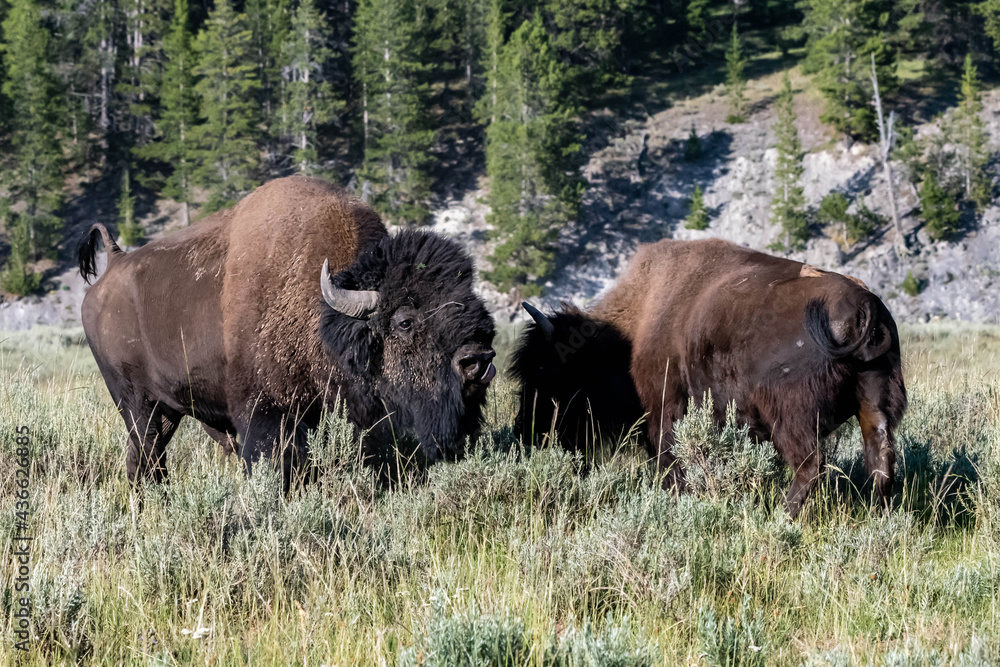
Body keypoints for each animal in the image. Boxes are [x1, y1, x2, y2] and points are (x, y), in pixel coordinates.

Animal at [80, 175, 498, 488]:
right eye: (405, 321)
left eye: (477, 305)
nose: (478, 360)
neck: (324, 312)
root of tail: (112, 266)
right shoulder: (269, 414)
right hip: (136, 404)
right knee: (147, 457)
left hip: (165, 410)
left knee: (143, 461)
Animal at [512, 240, 912, 516]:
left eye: (544, 370)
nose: (525, 431)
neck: (630, 334)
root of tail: (864, 303)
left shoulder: (665, 411)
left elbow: (670, 462)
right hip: (875, 401)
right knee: (880, 461)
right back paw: (880, 517)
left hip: (791, 416)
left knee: (810, 465)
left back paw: (782, 517)